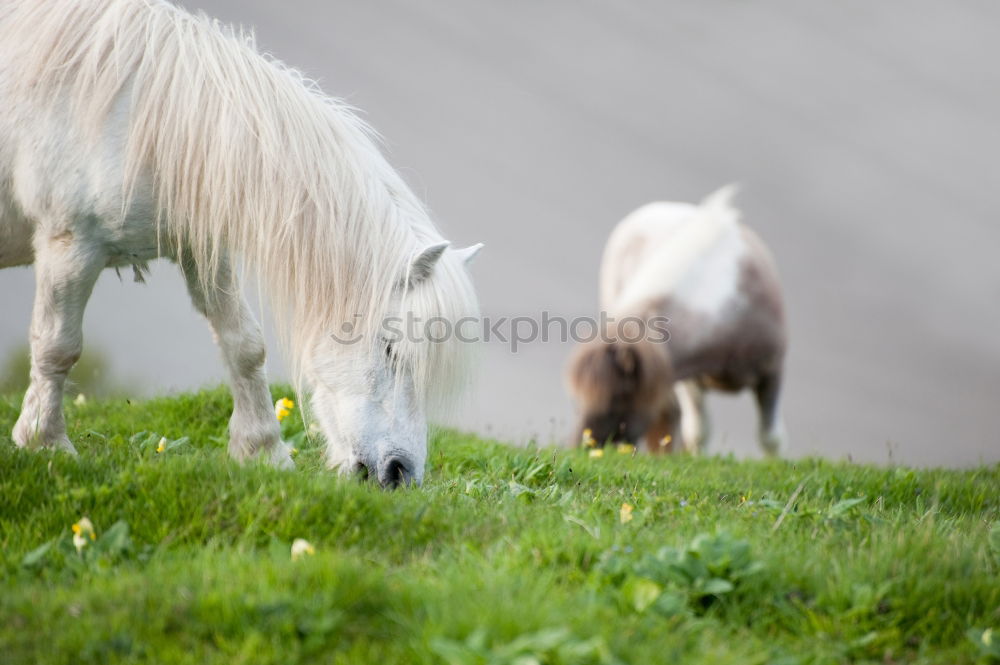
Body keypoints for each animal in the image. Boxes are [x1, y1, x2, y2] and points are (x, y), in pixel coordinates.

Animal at [0, 0, 484, 488]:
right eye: (390, 348)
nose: (401, 473)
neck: (144, 114)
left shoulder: (202, 254)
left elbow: (245, 346)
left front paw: (264, 452)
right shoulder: (71, 246)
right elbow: (57, 346)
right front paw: (45, 444)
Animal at [568, 187, 784, 456]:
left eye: (621, 395)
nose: (585, 446)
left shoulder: (772, 371)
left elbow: (771, 437)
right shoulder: (691, 379)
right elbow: (698, 433)